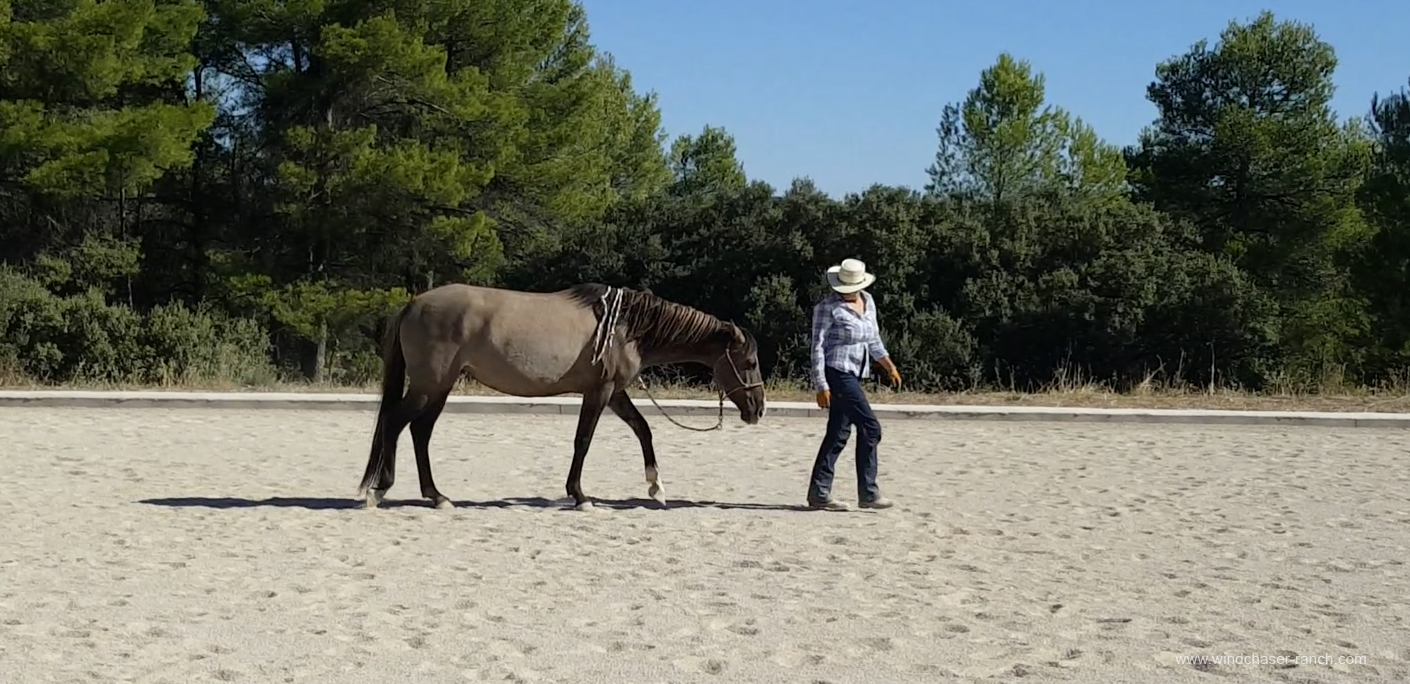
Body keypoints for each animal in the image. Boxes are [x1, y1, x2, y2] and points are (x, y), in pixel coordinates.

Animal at [358, 280, 767, 510]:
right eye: (749, 361)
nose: (758, 409)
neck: (626, 327)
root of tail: (414, 303)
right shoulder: (600, 391)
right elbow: (583, 441)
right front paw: (580, 496)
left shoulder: (615, 392)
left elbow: (643, 430)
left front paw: (656, 488)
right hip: (429, 386)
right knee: (395, 423)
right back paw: (380, 491)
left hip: (439, 388)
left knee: (419, 431)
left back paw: (436, 495)